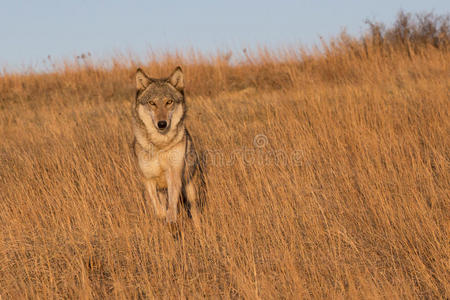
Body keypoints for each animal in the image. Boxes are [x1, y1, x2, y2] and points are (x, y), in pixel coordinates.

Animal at [132, 66, 206, 225]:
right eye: (152, 103)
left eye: (169, 102)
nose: (162, 124)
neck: (160, 145)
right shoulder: (148, 179)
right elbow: (156, 203)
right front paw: (161, 216)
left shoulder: (173, 173)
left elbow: (172, 202)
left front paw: (171, 216)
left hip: (190, 190)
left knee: (195, 212)